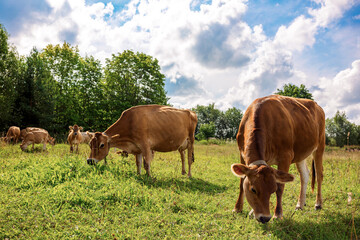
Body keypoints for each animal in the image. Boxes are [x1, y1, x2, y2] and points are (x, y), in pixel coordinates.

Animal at [232, 95, 324, 223]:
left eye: (272, 190)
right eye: (253, 189)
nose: (265, 218)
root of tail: (317, 106)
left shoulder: (286, 156)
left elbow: (280, 187)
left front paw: (278, 214)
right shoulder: (242, 154)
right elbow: (241, 182)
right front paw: (238, 208)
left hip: (320, 146)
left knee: (319, 175)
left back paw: (318, 204)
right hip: (301, 153)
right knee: (305, 175)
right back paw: (300, 204)